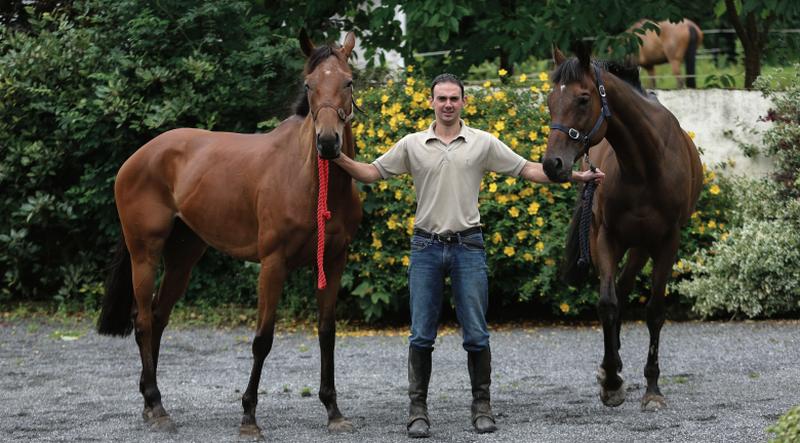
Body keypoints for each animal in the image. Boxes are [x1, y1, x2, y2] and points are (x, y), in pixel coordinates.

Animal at [95, 31, 364, 440]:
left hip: (183, 257)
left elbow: (327, 331)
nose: (328, 143)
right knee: (142, 321)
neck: (309, 180)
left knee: (157, 317)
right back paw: (157, 407)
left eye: (348, 82)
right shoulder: (273, 264)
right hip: (145, 253)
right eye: (309, 85)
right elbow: (262, 340)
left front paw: (333, 410)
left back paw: (148, 401)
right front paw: (249, 416)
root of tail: (138, 157)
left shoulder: (333, 261)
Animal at [540, 46, 704, 412]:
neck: (644, 166)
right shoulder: (606, 237)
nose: (552, 164)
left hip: (642, 246)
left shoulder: (667, 242)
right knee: (618, 292)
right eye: (549, 101)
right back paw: (609, 367)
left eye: (583, 99)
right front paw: (611, 380)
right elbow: (607, 303)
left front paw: (653, 389)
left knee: (627, 289)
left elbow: (654, 311)